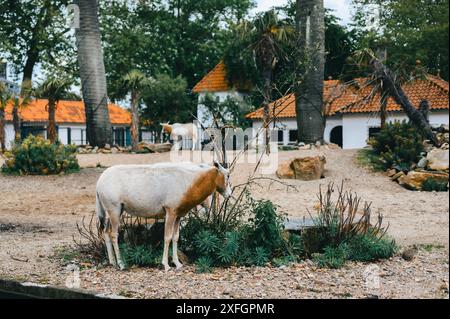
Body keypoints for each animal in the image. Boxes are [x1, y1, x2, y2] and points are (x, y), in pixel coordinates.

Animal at [93, 161, 230, 272]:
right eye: (228, 175)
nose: (229, 194)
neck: (188, 180)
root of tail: (99, 182)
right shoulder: (170, 212)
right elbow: (167, 237)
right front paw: (166, 265)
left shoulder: (177, 216)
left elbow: (176, 237)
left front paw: (177, 263)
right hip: (114, 210)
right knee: (113, 234)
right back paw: (121, 264)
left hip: (115, 211)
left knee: (106, 231)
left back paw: (112, 262)